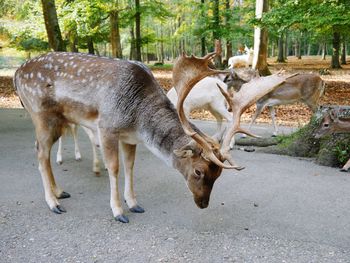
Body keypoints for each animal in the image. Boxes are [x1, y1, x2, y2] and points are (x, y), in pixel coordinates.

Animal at [13, 42, 288, 223]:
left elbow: (130, 166)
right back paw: (54, 203)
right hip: (41, 114)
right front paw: (118, 212)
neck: (137, 118)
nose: (203, 204)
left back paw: (60, 192)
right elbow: (114, 168)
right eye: (198, 171)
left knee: (44, 153)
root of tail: (17, 74)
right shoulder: (107, 127)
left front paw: (134, 204)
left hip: (58, 121)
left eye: (218, 174)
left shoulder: (129, 137)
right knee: (40, 154)